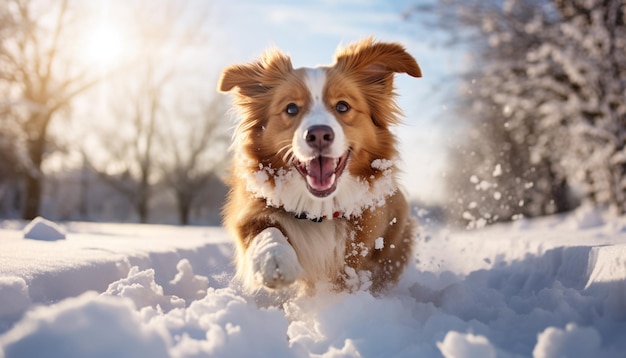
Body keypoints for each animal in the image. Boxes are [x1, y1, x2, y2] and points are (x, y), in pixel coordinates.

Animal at [218, 37, 420, 296]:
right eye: (291, 108)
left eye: (342, 106)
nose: (319, 135)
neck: (319, 211)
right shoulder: (249, 208)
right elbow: (265, 230)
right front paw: (275, 262)